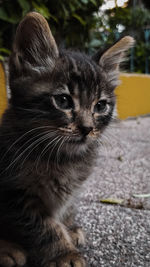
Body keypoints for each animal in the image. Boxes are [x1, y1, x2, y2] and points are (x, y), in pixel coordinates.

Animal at [0, 12, 134, 267]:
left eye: (100, 106)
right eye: (63, 101)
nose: (87, 128)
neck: (62, 157)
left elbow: (67, 207)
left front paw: (70, 227)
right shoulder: (16, 194)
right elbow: (42, 227)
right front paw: (64, 253)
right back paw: (8, 249)